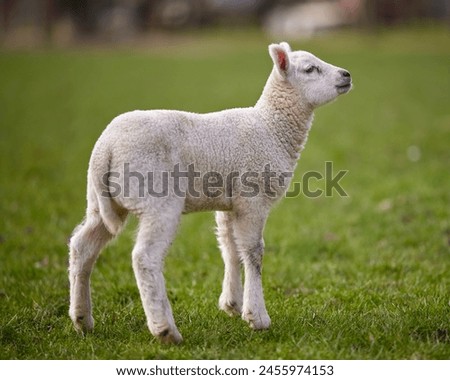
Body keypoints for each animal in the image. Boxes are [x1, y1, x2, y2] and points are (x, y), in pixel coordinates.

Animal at [69, 41, 352, 344]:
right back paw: (165, 329)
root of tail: (105, 148)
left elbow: (230, 248)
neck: (270, 128)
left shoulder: (230, 201)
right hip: (157, 199)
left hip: (101, 201)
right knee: (144, 257)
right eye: (310, 69)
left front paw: (232, 303)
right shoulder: (253, 198)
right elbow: (254, 252)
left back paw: (82, 319)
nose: (346, 75)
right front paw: (257, 316)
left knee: (82, 246)